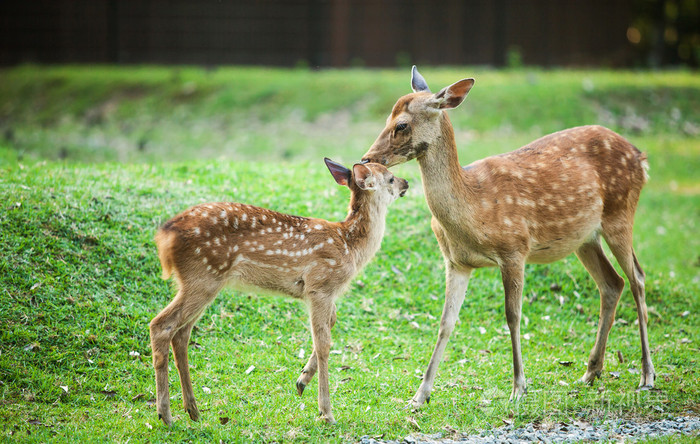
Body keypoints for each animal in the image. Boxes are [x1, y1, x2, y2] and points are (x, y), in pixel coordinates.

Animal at [150, 159, 408, 424]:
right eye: (390, 178)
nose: (406, 183)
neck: (350, 246)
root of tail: (165, 235)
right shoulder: (320, 286)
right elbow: (323, 343)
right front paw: (326, 412)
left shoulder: (322, 293)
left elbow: (332, 322)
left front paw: (302, 380)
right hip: (203, 276)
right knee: (161, 325)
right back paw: (165, 414)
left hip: (197, 282)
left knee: (181, 334)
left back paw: (192, 409)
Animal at [364, 67, 652, 406]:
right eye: (387, 117)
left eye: (402, 124)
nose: (367, 159)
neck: (473, 210)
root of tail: (641, 157)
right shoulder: (456, 262)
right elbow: (446, 322)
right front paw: (420, 395)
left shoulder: (515, 249)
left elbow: (513, 315)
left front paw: (518, 387)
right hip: (584, 237)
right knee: (611, 283)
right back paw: (591, 372)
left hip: (621, 212)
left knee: (637, 279)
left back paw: (647, 375)